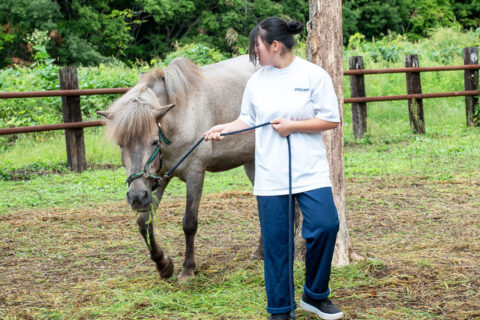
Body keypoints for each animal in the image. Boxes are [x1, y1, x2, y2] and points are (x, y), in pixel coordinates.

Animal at [97, 55, 262, 282]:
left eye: (154, 141)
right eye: (121, 144)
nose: (136, 197)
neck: (179, 116)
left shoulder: (195, 174)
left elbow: (189, 223)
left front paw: (187, 269)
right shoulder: (158, 177)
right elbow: (144, 221)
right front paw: (163, 264)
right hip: (251, 163)